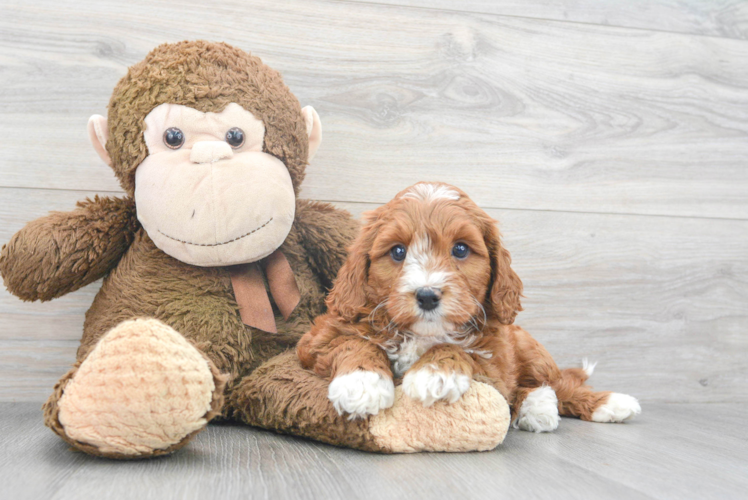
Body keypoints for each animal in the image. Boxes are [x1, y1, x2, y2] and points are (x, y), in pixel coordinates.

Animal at [298, 182, 644, 432]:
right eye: (397, 251)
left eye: (461, 249)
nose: (427, 295)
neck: (422, 334)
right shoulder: (315, 342)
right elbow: (353, 342)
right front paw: (361, 383)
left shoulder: (496, 362)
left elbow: (462, 350)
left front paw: (435, 373)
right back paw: (540, 406)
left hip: (530, 348)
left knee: (559, 384)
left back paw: (606, 403)